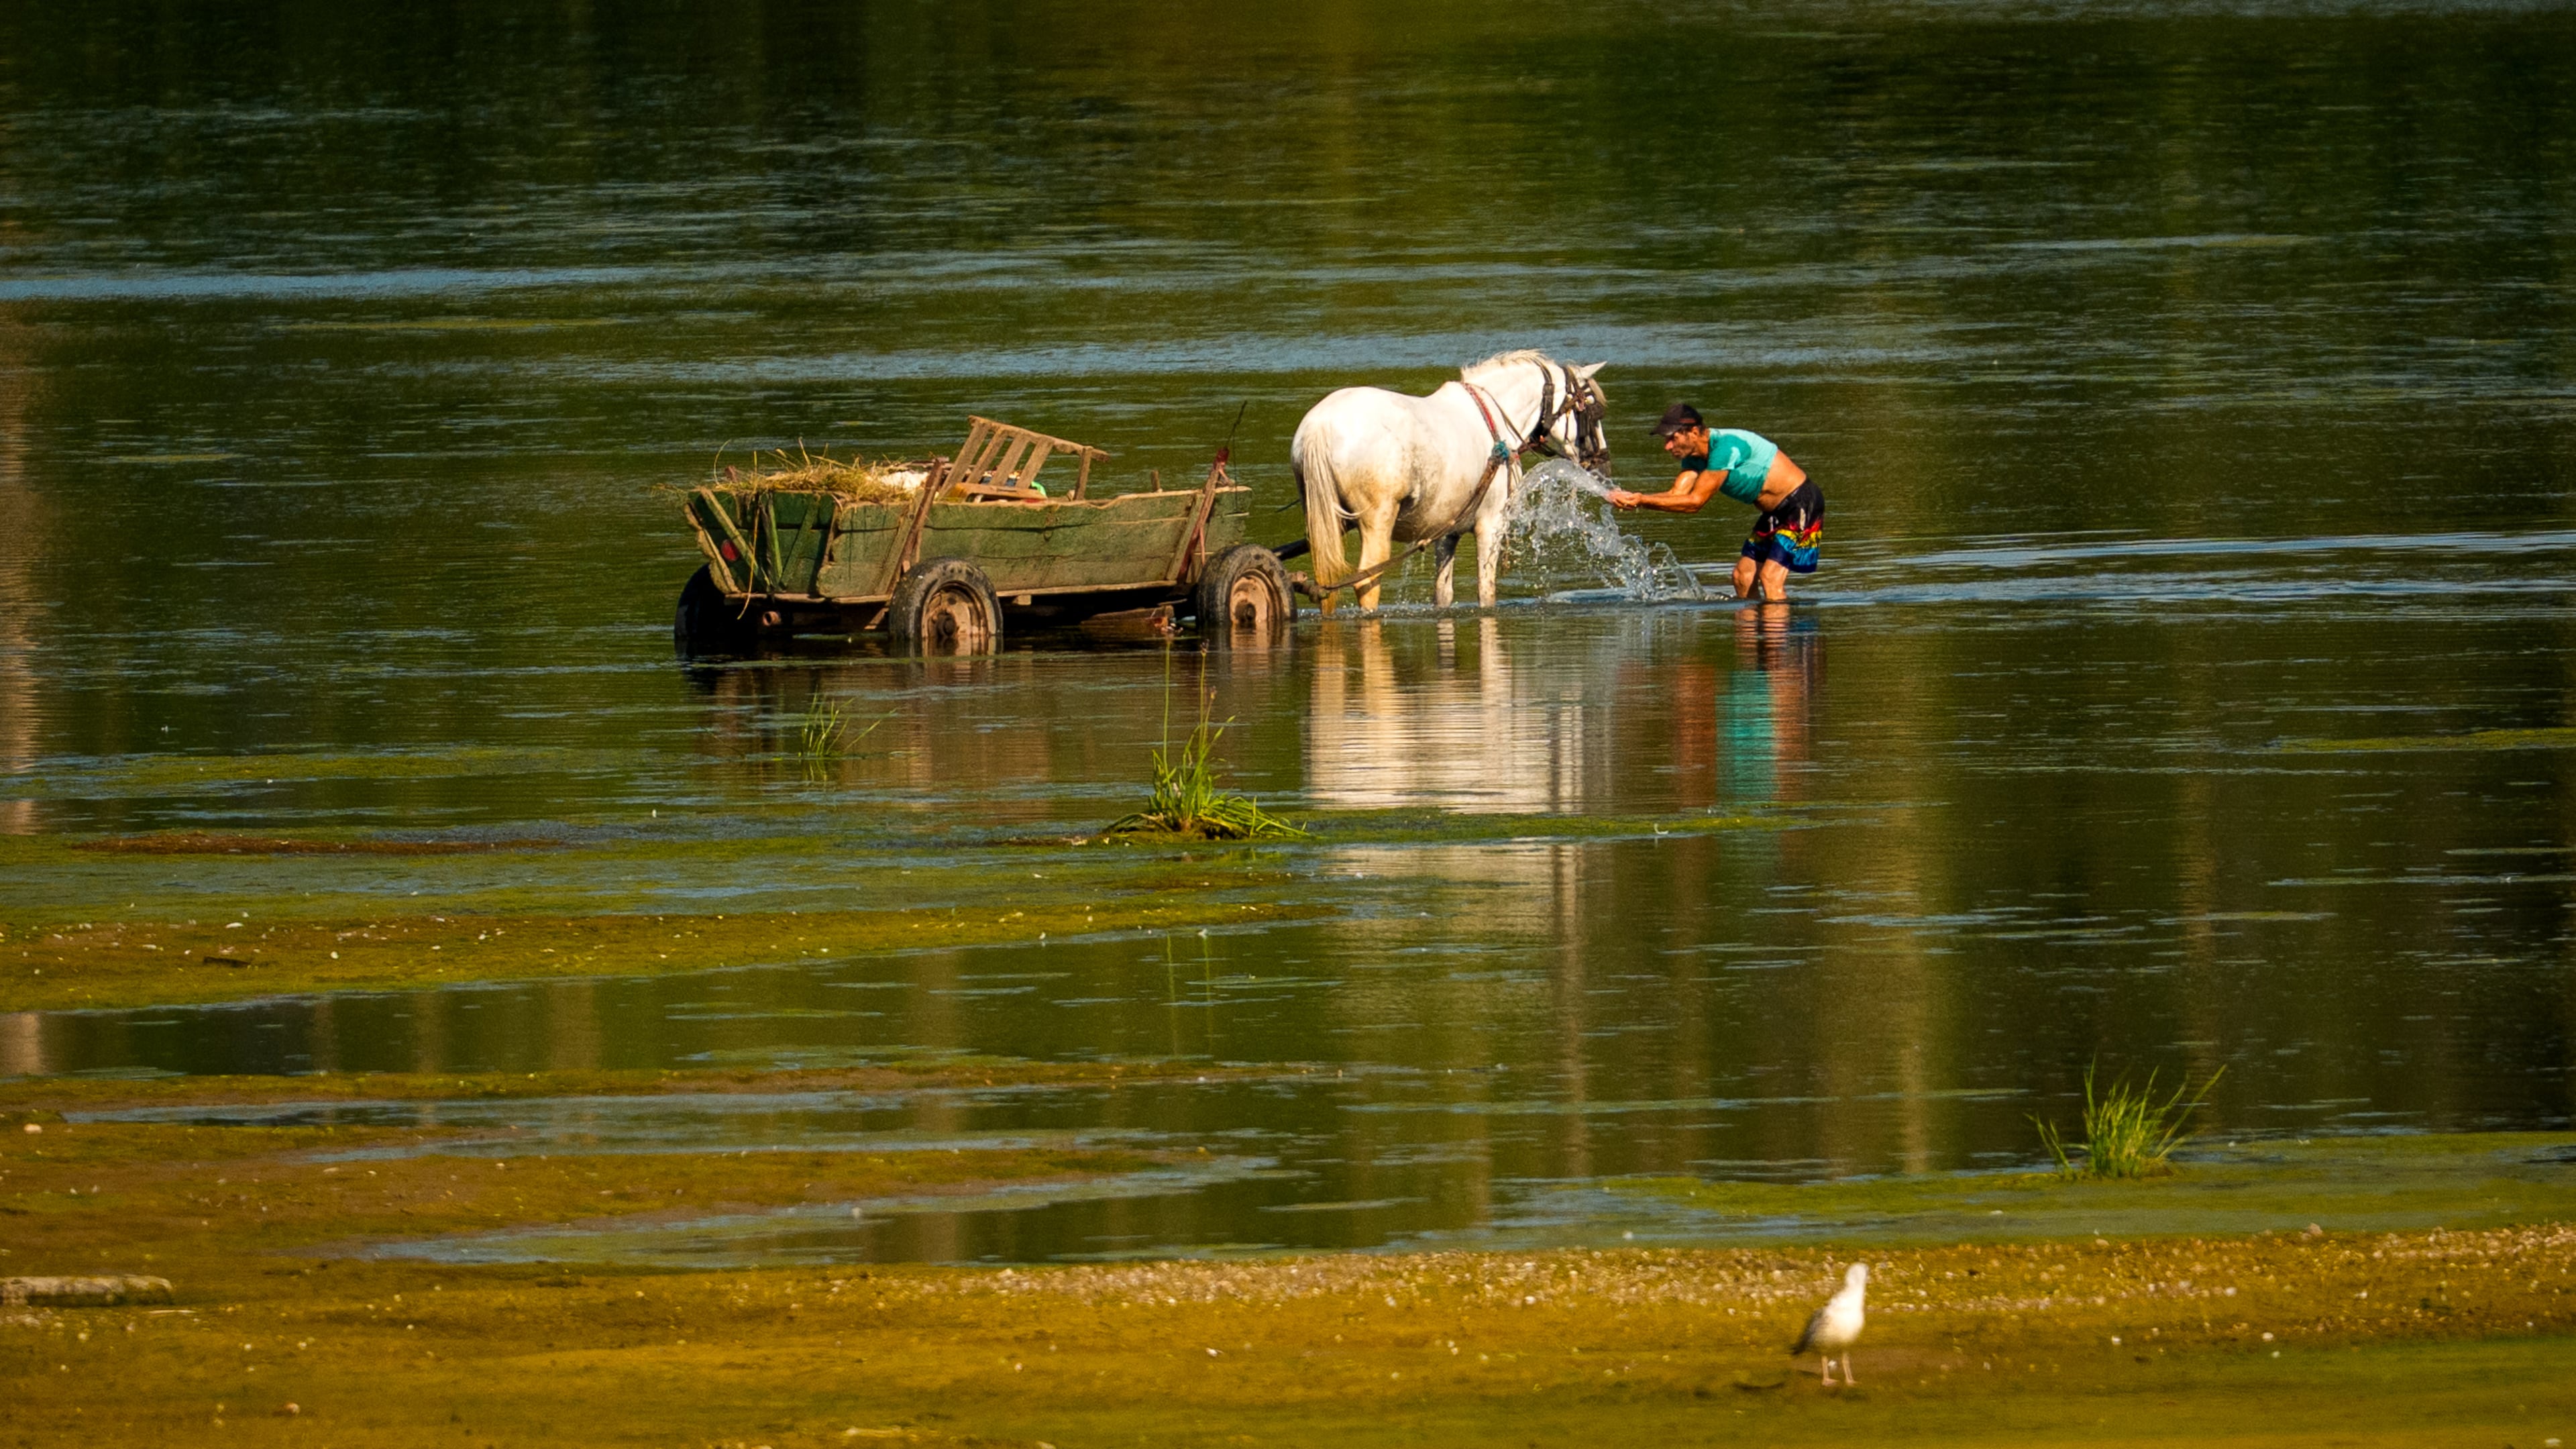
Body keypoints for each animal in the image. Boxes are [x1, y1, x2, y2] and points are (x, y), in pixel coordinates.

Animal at [1293, 350, 1608, 612]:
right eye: (1592, 410)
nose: (1602, 460)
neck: (1495, 420)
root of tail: (1320, 426)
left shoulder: (1445, 532)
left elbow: (1443, 594)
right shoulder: (1491, 523)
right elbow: (1486, 591)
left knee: (1326, 587)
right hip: (1377, 522)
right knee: (1366, 584)